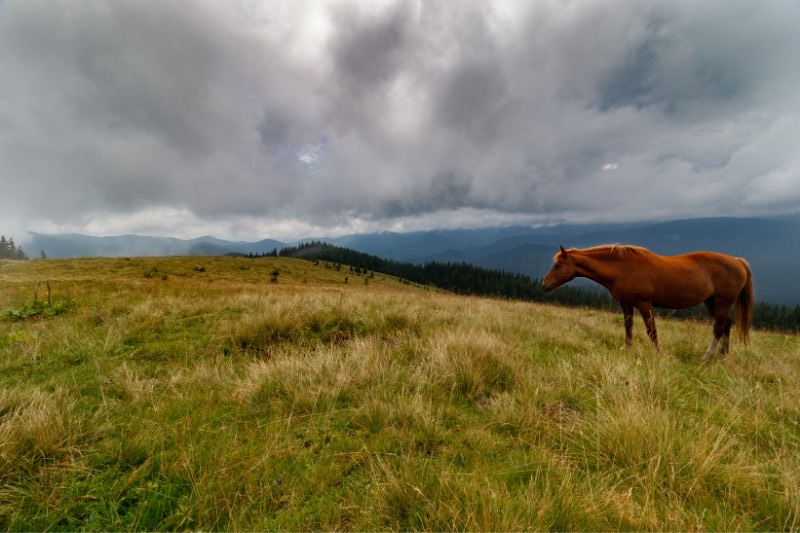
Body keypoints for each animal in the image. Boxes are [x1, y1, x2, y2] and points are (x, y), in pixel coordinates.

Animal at [540, 245, 752, 358]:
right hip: (711, 302)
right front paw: (627, 347)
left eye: (557, 265)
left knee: (718, 327)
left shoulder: (644, 304)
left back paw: (707, 355)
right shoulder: (625, 304)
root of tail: (737, 261)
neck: (622, 268)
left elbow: (651, 330)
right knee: (727, 324)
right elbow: (628, 326)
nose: (544, 285)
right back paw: (723, 354)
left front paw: (658, 353)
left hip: (722, 302)